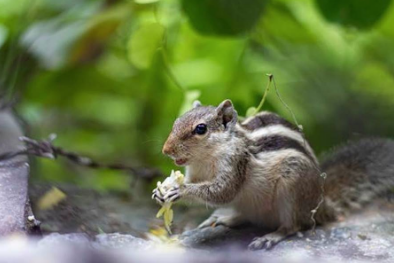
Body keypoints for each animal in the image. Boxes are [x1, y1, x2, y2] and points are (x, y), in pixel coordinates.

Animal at [152, 99, 394, 250]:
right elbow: (198, 184)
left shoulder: (235, 164)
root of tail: (321, 204)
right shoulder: (195, 172)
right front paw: (160, 190)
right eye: (176, 122)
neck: (206, 158)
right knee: (247, 216)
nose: (165, 150)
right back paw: (224, 218)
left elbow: (222, 192)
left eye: (200, 129)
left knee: (293, 226)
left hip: (292, 188)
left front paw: (179, 190)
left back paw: (270, 237)